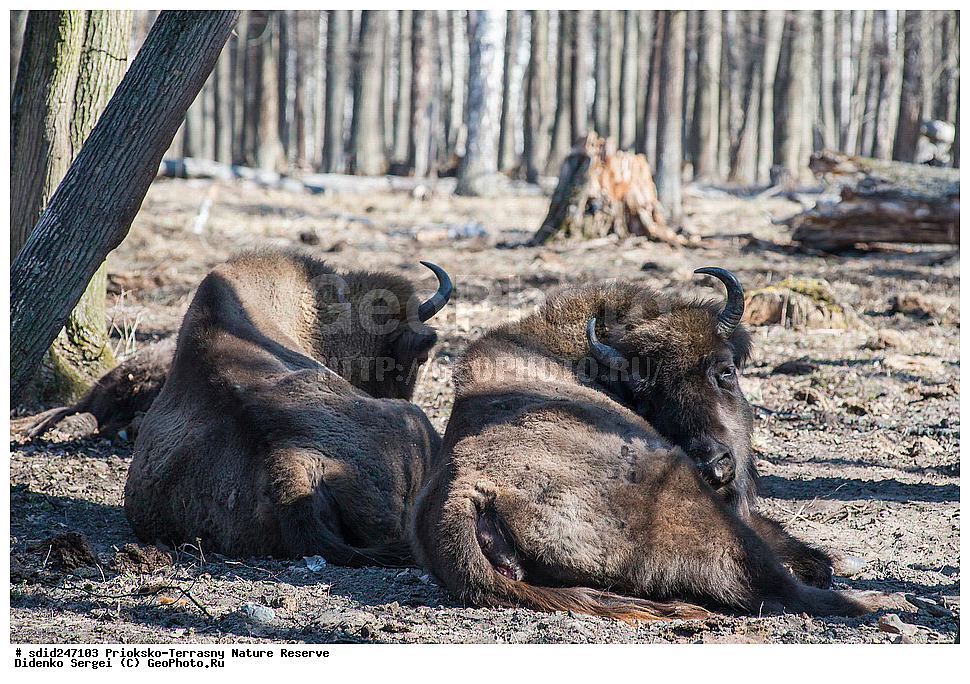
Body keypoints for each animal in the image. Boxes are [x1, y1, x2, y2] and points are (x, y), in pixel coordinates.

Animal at [410, 268, 878, 620]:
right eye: (648, 393)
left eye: (725, 371)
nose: (715, 466)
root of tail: (463, 496)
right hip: (694, 505)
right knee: (778, 586)